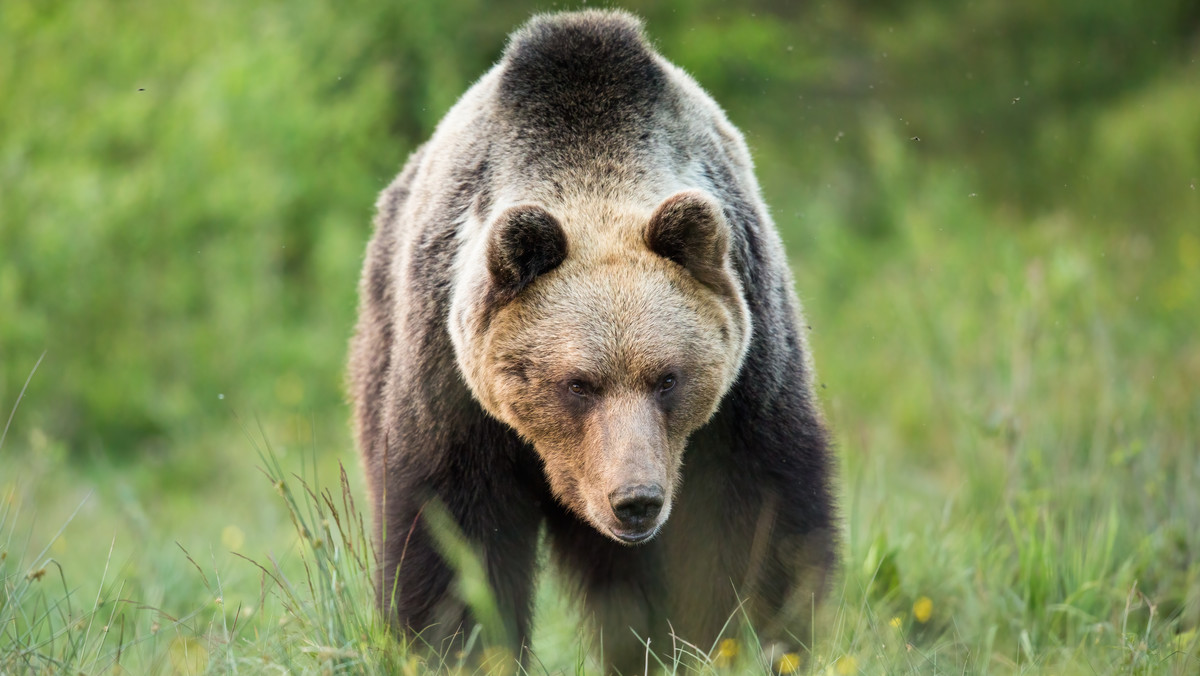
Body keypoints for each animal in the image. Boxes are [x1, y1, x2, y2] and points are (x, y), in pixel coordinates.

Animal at [348, 7, 835, 672]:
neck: (591, 169)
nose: (636, 500)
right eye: (578, 383)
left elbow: (760, 515)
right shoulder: (451, 385)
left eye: (668, 378)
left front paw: (761, 639)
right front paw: (454, 646)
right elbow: (452, 535)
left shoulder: (748, 373)